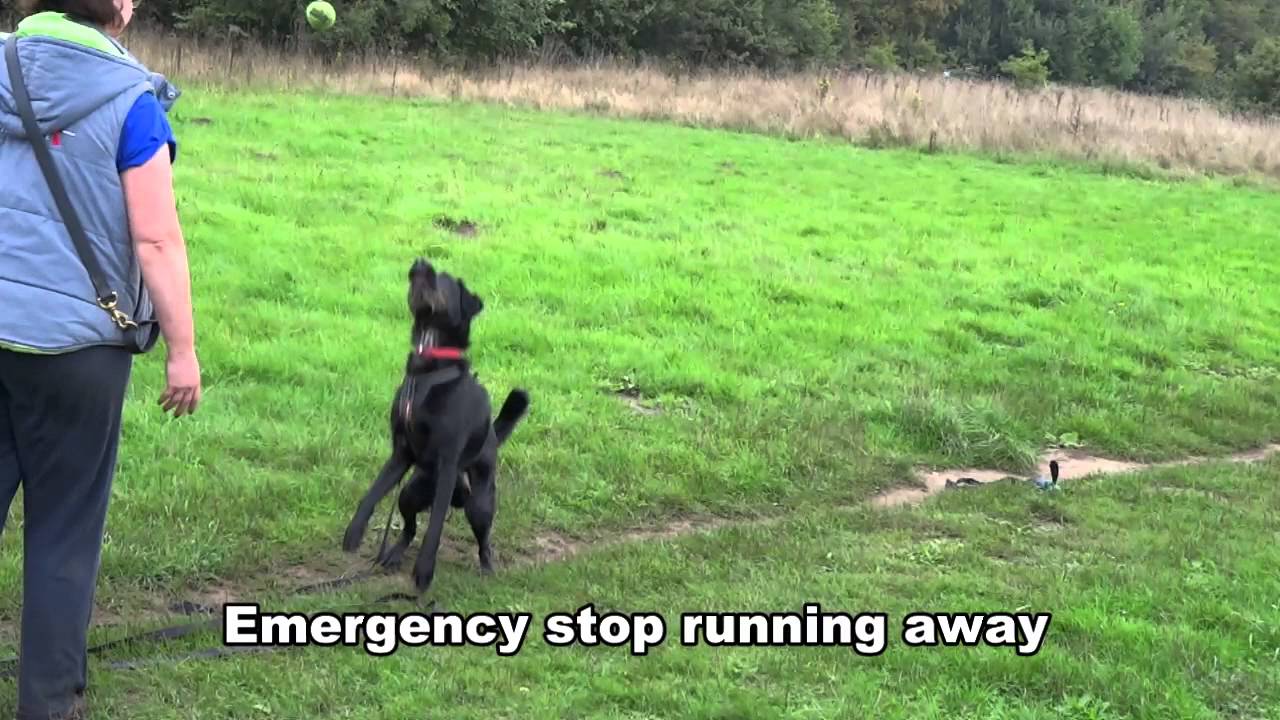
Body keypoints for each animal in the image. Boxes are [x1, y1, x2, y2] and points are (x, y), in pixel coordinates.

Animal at [340, 256, 529, 589]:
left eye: (445, 279)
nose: (420, 262)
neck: (428, 364)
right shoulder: (400, 454)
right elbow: (372, 493)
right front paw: (355, 532)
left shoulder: (447, 463)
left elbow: (435, 529)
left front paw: (424, 571)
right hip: (410, 493)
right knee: (409, 528)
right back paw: (393, 554)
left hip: (478, 504)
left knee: (483, 539)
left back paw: (487, 567)